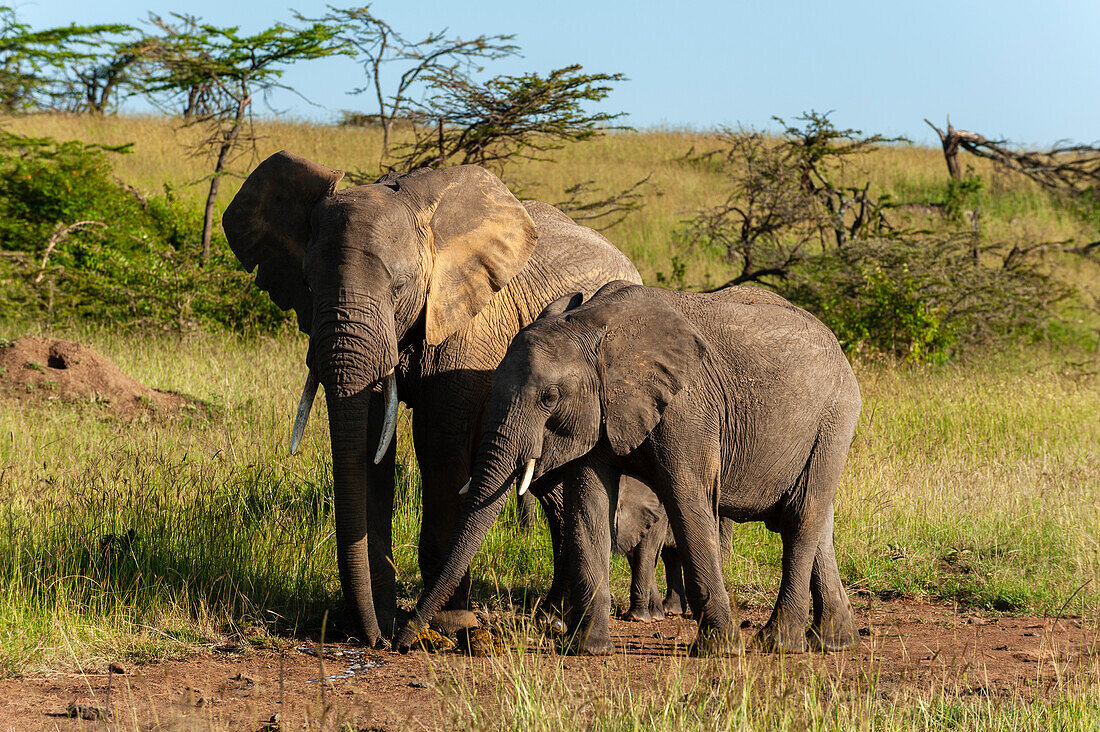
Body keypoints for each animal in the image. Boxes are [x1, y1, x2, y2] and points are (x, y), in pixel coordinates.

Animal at [218, 150, 642, 642]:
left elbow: (438, 439)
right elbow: (369, 443)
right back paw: (552, 614)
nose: (377, 639)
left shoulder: (470, 322)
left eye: (399, 287)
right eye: (306, 283)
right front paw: (378, 617)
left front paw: (443, 624)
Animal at [400, 279, 862, 656]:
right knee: (814, 521)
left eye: (550, 397)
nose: (403, 642)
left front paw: (719, 651)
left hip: (835, 416)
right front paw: (585, 649)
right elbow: (589, 505)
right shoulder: (600, 410)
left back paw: (776, 644)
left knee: (801, 518)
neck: (593, 327)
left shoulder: (687, 407)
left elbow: (686, 500)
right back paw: (833, 642)